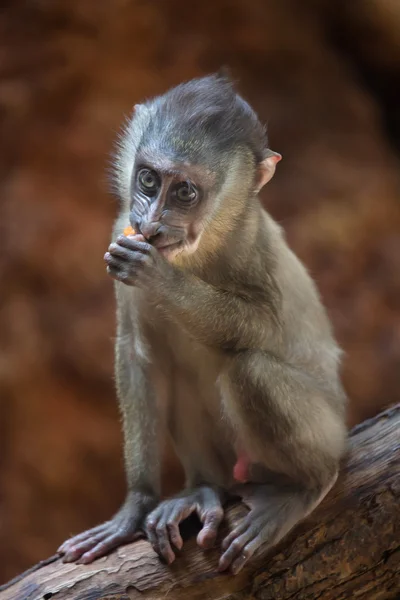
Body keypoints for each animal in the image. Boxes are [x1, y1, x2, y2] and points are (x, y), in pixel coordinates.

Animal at [57, 72, 348, 576]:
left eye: (185, 193)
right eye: (148, 179)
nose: (151, 224)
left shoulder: (251, 241)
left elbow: (264, 327)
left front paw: (160, 277)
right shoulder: (119, 228)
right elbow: (138, 356)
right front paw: (136, 504)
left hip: (330, 431)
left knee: (252, 369)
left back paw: (304, 485)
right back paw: (201, 491)